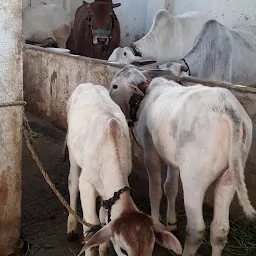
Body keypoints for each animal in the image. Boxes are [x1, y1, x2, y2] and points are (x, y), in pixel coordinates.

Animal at [66, 83, 182, 256]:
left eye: (151, 249)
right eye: (123, 250)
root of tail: (87, 84)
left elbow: (104, 219)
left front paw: (104, 248)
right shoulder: (86, 184)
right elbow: (91, 228)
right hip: (72, 153)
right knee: (72, 185)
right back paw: (71, 226)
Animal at [108, 66, 256, 256]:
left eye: (115, 85)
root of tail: (227, 107)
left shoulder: (150, 152)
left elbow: (155, 189)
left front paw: (155, 223)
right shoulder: (173, 159)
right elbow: (170, 187)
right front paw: (171, 223)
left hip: (194, 177)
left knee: (196, 229)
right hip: (231, 174)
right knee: (220, 229)